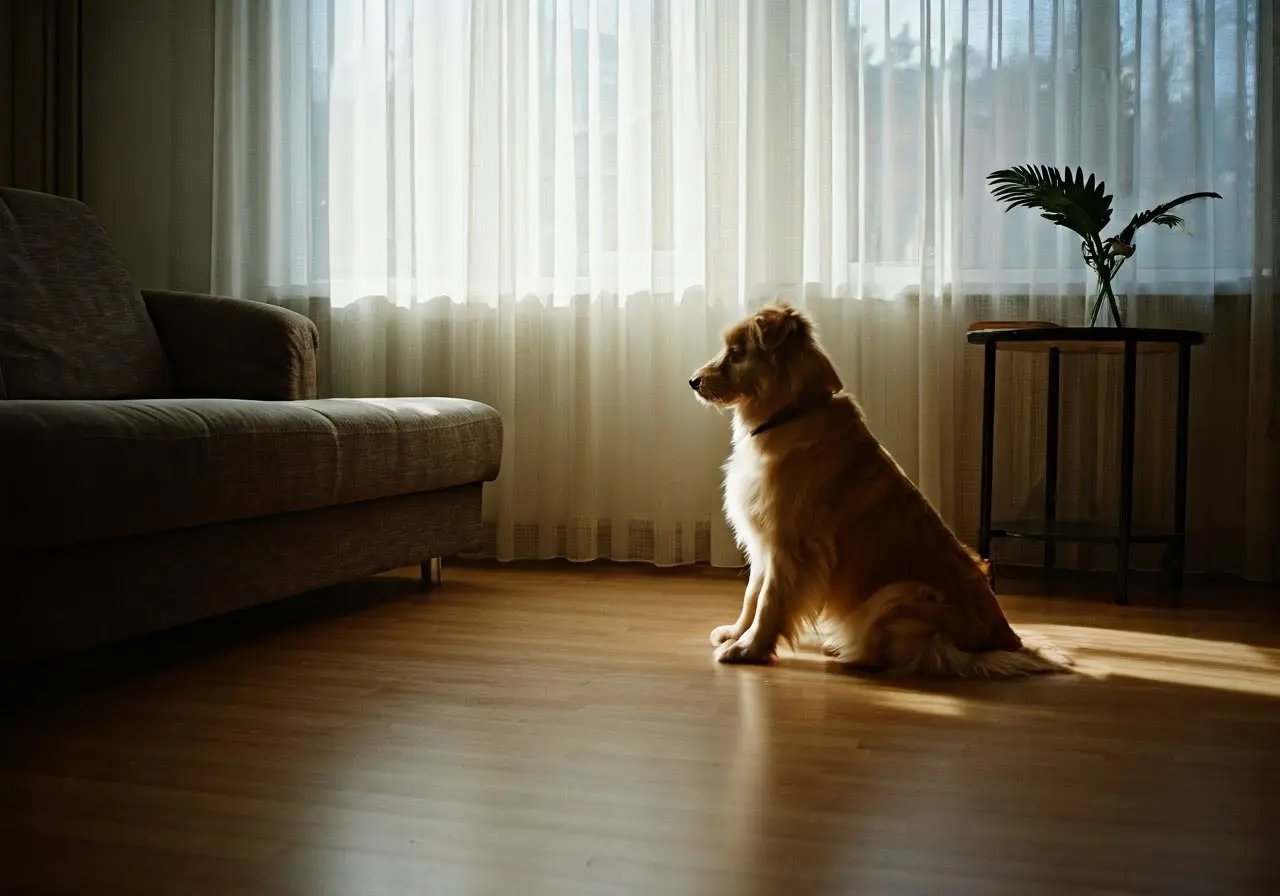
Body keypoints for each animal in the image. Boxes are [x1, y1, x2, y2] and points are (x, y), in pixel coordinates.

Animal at [691, 303, 1070, 680]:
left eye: (737, 352)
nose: (693, 381)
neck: (792, 414)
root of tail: (1006, 642)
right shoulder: (764, 541)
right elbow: (752, 595)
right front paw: (737, 633)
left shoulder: (791, 546)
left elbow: (769, 601)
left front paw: (749, 649)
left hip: (900, 593)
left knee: (914, 653)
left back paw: (851, 651)